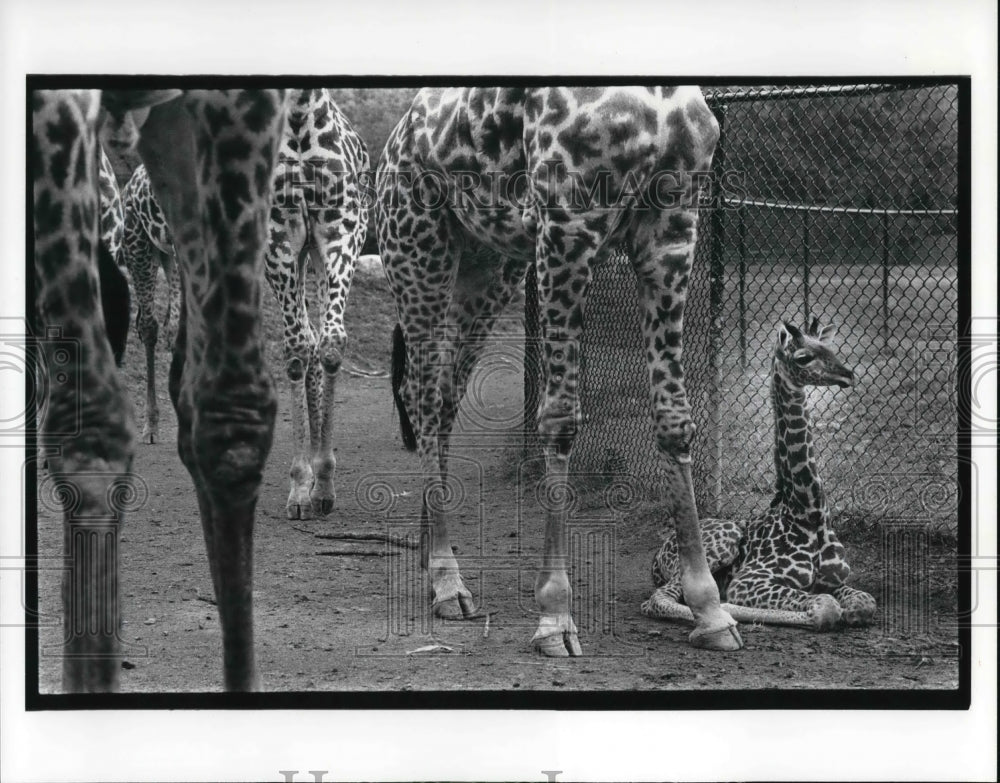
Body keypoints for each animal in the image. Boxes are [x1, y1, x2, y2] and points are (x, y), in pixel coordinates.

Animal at [378, 89, 748, 660]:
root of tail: (395, 141)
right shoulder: (567, 225)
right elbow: (560, 419)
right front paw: (555, 617)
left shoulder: (672, 228)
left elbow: (675, 419)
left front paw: (710, 611)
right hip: (419, 251)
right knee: (420, 396)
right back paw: (447, 583)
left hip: (490, 266)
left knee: (442, 397)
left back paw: (430, 558)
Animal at [640, 318, 876, 632]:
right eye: (803, 357)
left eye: (830, 349)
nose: (847, 375)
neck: (808, 512)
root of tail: (657, 555)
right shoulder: (749, 581)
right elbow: (826, 608)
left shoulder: (835, 581)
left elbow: (864, 603)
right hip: (721, 544)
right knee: (657, 600)